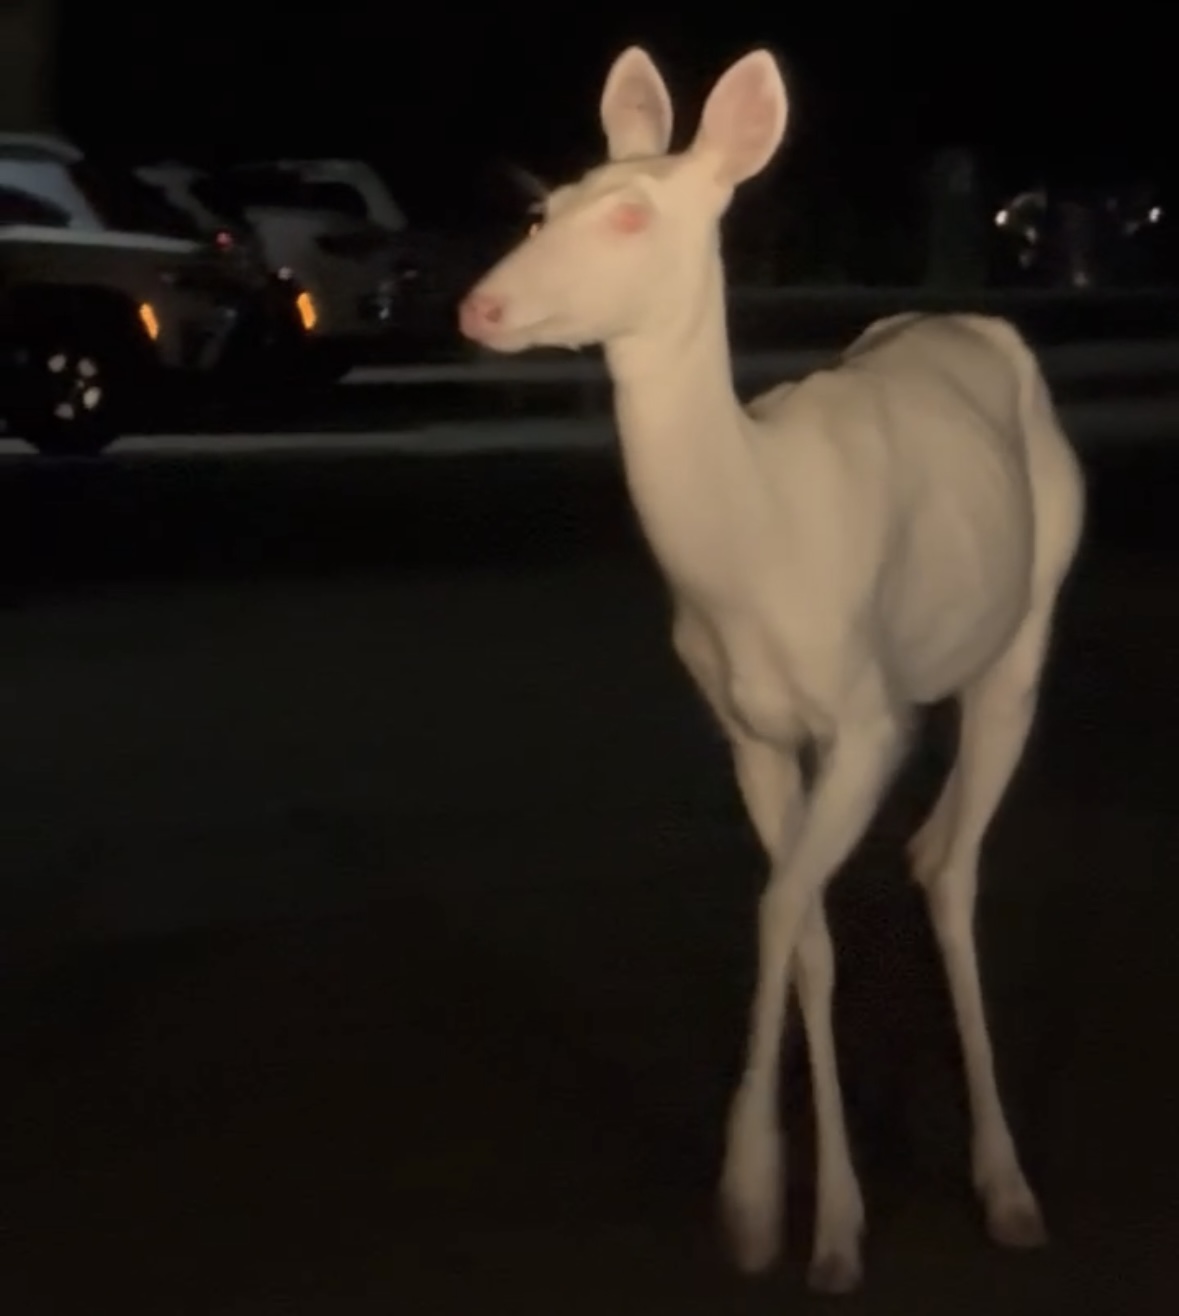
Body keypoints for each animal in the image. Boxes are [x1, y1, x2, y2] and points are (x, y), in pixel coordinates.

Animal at [457, 45, 1085, 1295]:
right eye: (545, 207)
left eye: (633, 213)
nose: (479, 306)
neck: (757, 546)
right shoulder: (746, 727)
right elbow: (806, 930)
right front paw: (827, 1217)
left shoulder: (868, 716)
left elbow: (780, 903)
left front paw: (760, 1201)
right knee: (931, 850)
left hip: (1025, 630)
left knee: (954, 862)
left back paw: (1006, 1182)